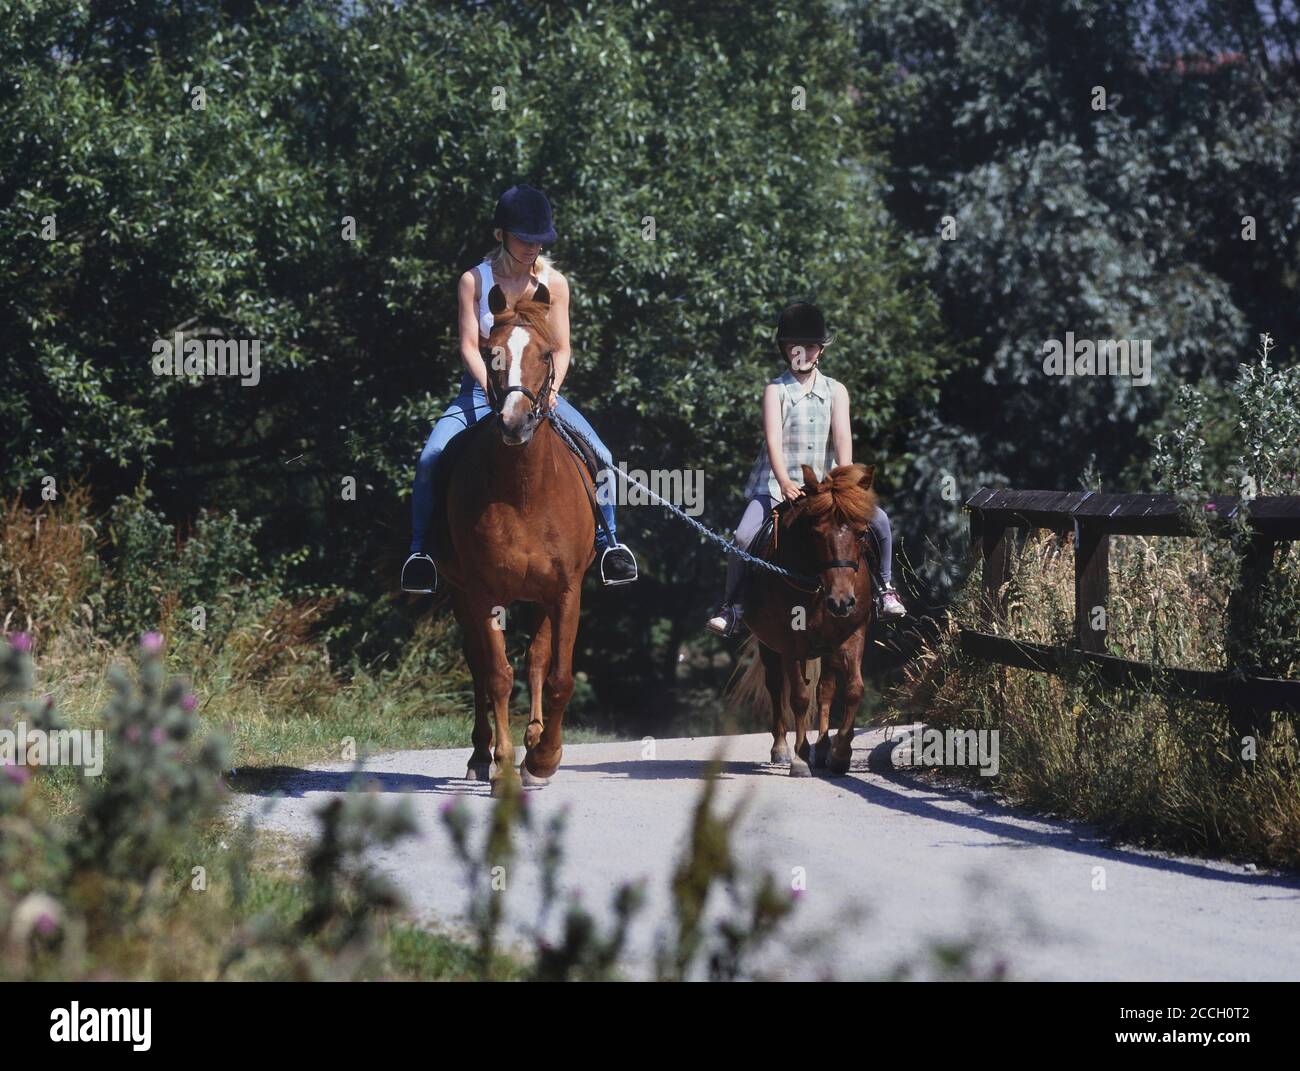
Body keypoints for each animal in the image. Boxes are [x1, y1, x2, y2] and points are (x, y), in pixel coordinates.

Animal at [433, 285, 596, 794]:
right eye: (492, 353)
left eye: (546, 354)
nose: (514, 423)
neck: (524, 490)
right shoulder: (482, 592)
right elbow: (498, 676)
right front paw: (504, 763)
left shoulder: (566, 592)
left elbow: (558, 675)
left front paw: (542, 759)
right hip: (461, 595)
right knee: (479, 669)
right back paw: (480, 755)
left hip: (542, 597)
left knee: (538, 661)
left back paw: (535, 741)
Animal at [729, 463, 877, 777]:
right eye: (817, 534)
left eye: (861, 534)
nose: (841, 602)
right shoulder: (789, 642)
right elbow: (798, 696)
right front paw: (799, 758)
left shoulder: (853, 634)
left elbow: (853, 689)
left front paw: (840, 753)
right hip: (769, 646)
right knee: (777, 688)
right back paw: (782, 748)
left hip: (828, 648)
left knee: (825, 690)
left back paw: (822, 748)